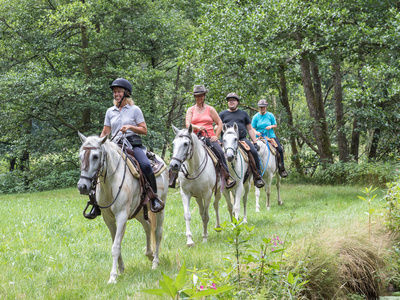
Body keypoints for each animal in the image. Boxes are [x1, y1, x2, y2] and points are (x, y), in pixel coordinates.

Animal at [76, 134, 167, 284]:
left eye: (95, 156)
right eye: (80, 156)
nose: (82, 186)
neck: (110, 183)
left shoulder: (121, 216)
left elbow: (116, 246)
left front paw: (113, 276)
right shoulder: (108, 219)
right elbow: (115, 243)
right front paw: (121, 269)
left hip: (160, 209)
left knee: (158, 232)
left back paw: (155, 261)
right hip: (139, 211)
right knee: (148, 227)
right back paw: (149, 254)